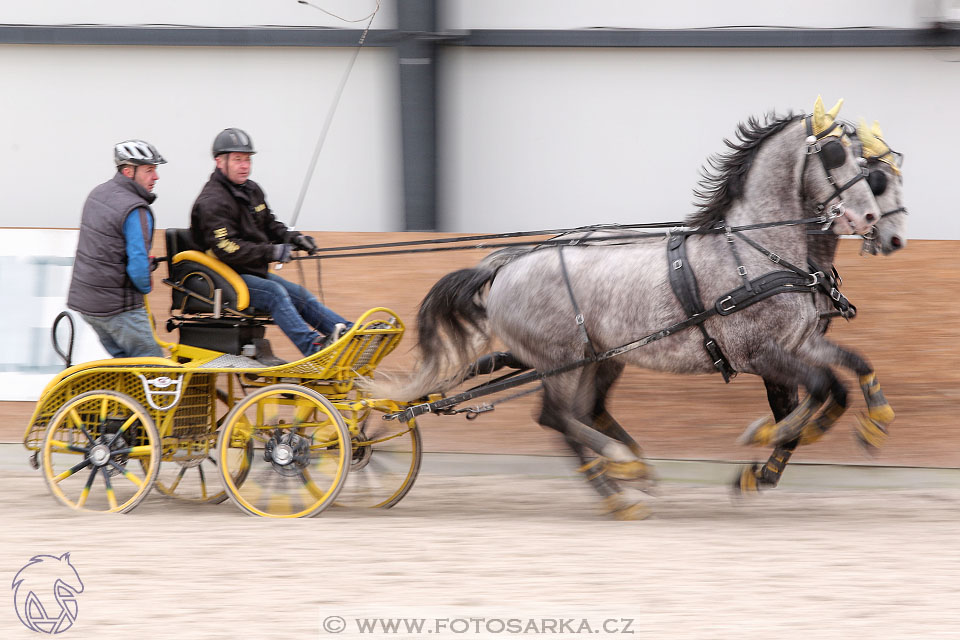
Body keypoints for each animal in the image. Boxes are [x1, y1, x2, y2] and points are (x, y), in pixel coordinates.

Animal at [372, 100, 880, 520]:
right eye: (835, 152)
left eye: (867, 161)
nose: (871, 218)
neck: (755, 251)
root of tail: (508, 265)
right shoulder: (759, 352)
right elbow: (822, 386)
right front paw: (766, 440)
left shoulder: (800, 342)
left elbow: (849, 373)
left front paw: (865, 427)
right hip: (561, 361)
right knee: (557, 417)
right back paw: (622, 479)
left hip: (596, 360)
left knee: (580, 411)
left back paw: (630, 474)